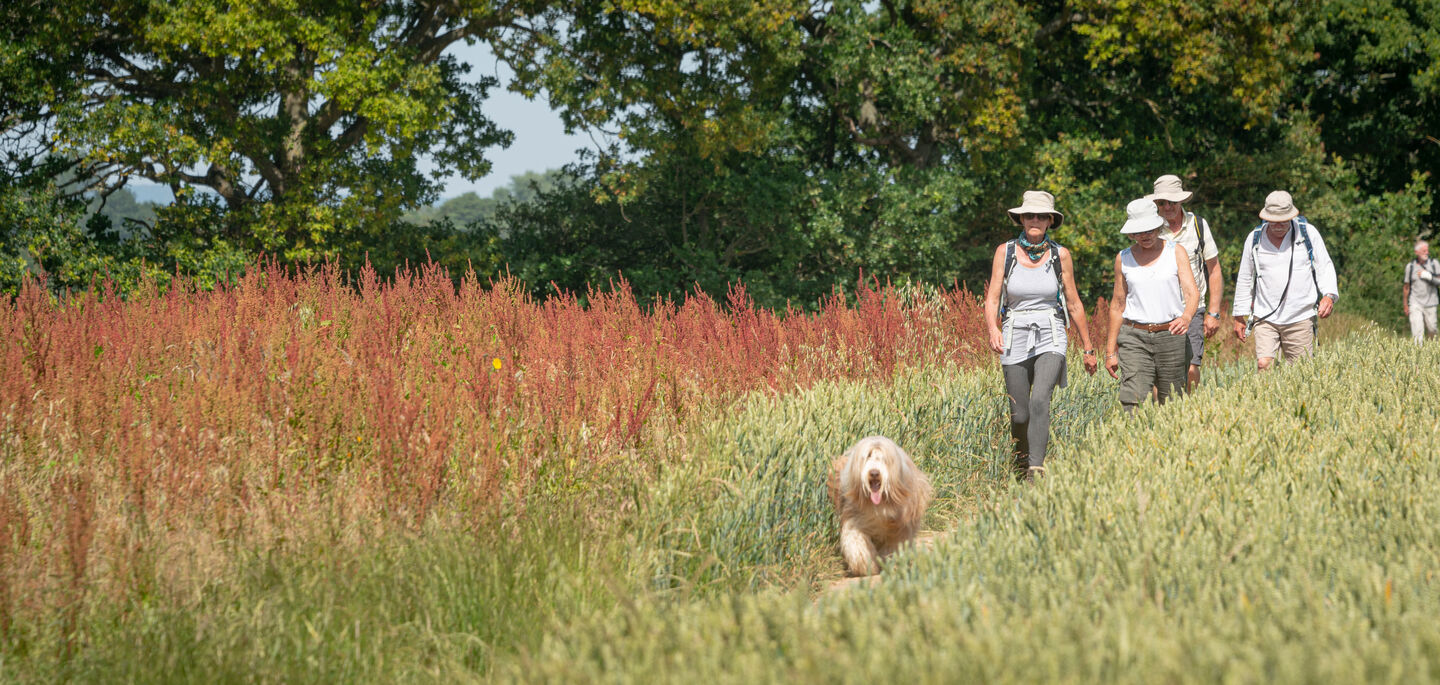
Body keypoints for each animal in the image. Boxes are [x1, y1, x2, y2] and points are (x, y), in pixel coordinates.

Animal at [829, 437, 927, 575]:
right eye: (868, 456)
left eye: (883, 459)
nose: (874, 473)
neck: (880, 504)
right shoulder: (854, 517)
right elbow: (856, 541)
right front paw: (865, 565)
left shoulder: (901, 526)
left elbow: (893, 545)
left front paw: (890, 563)